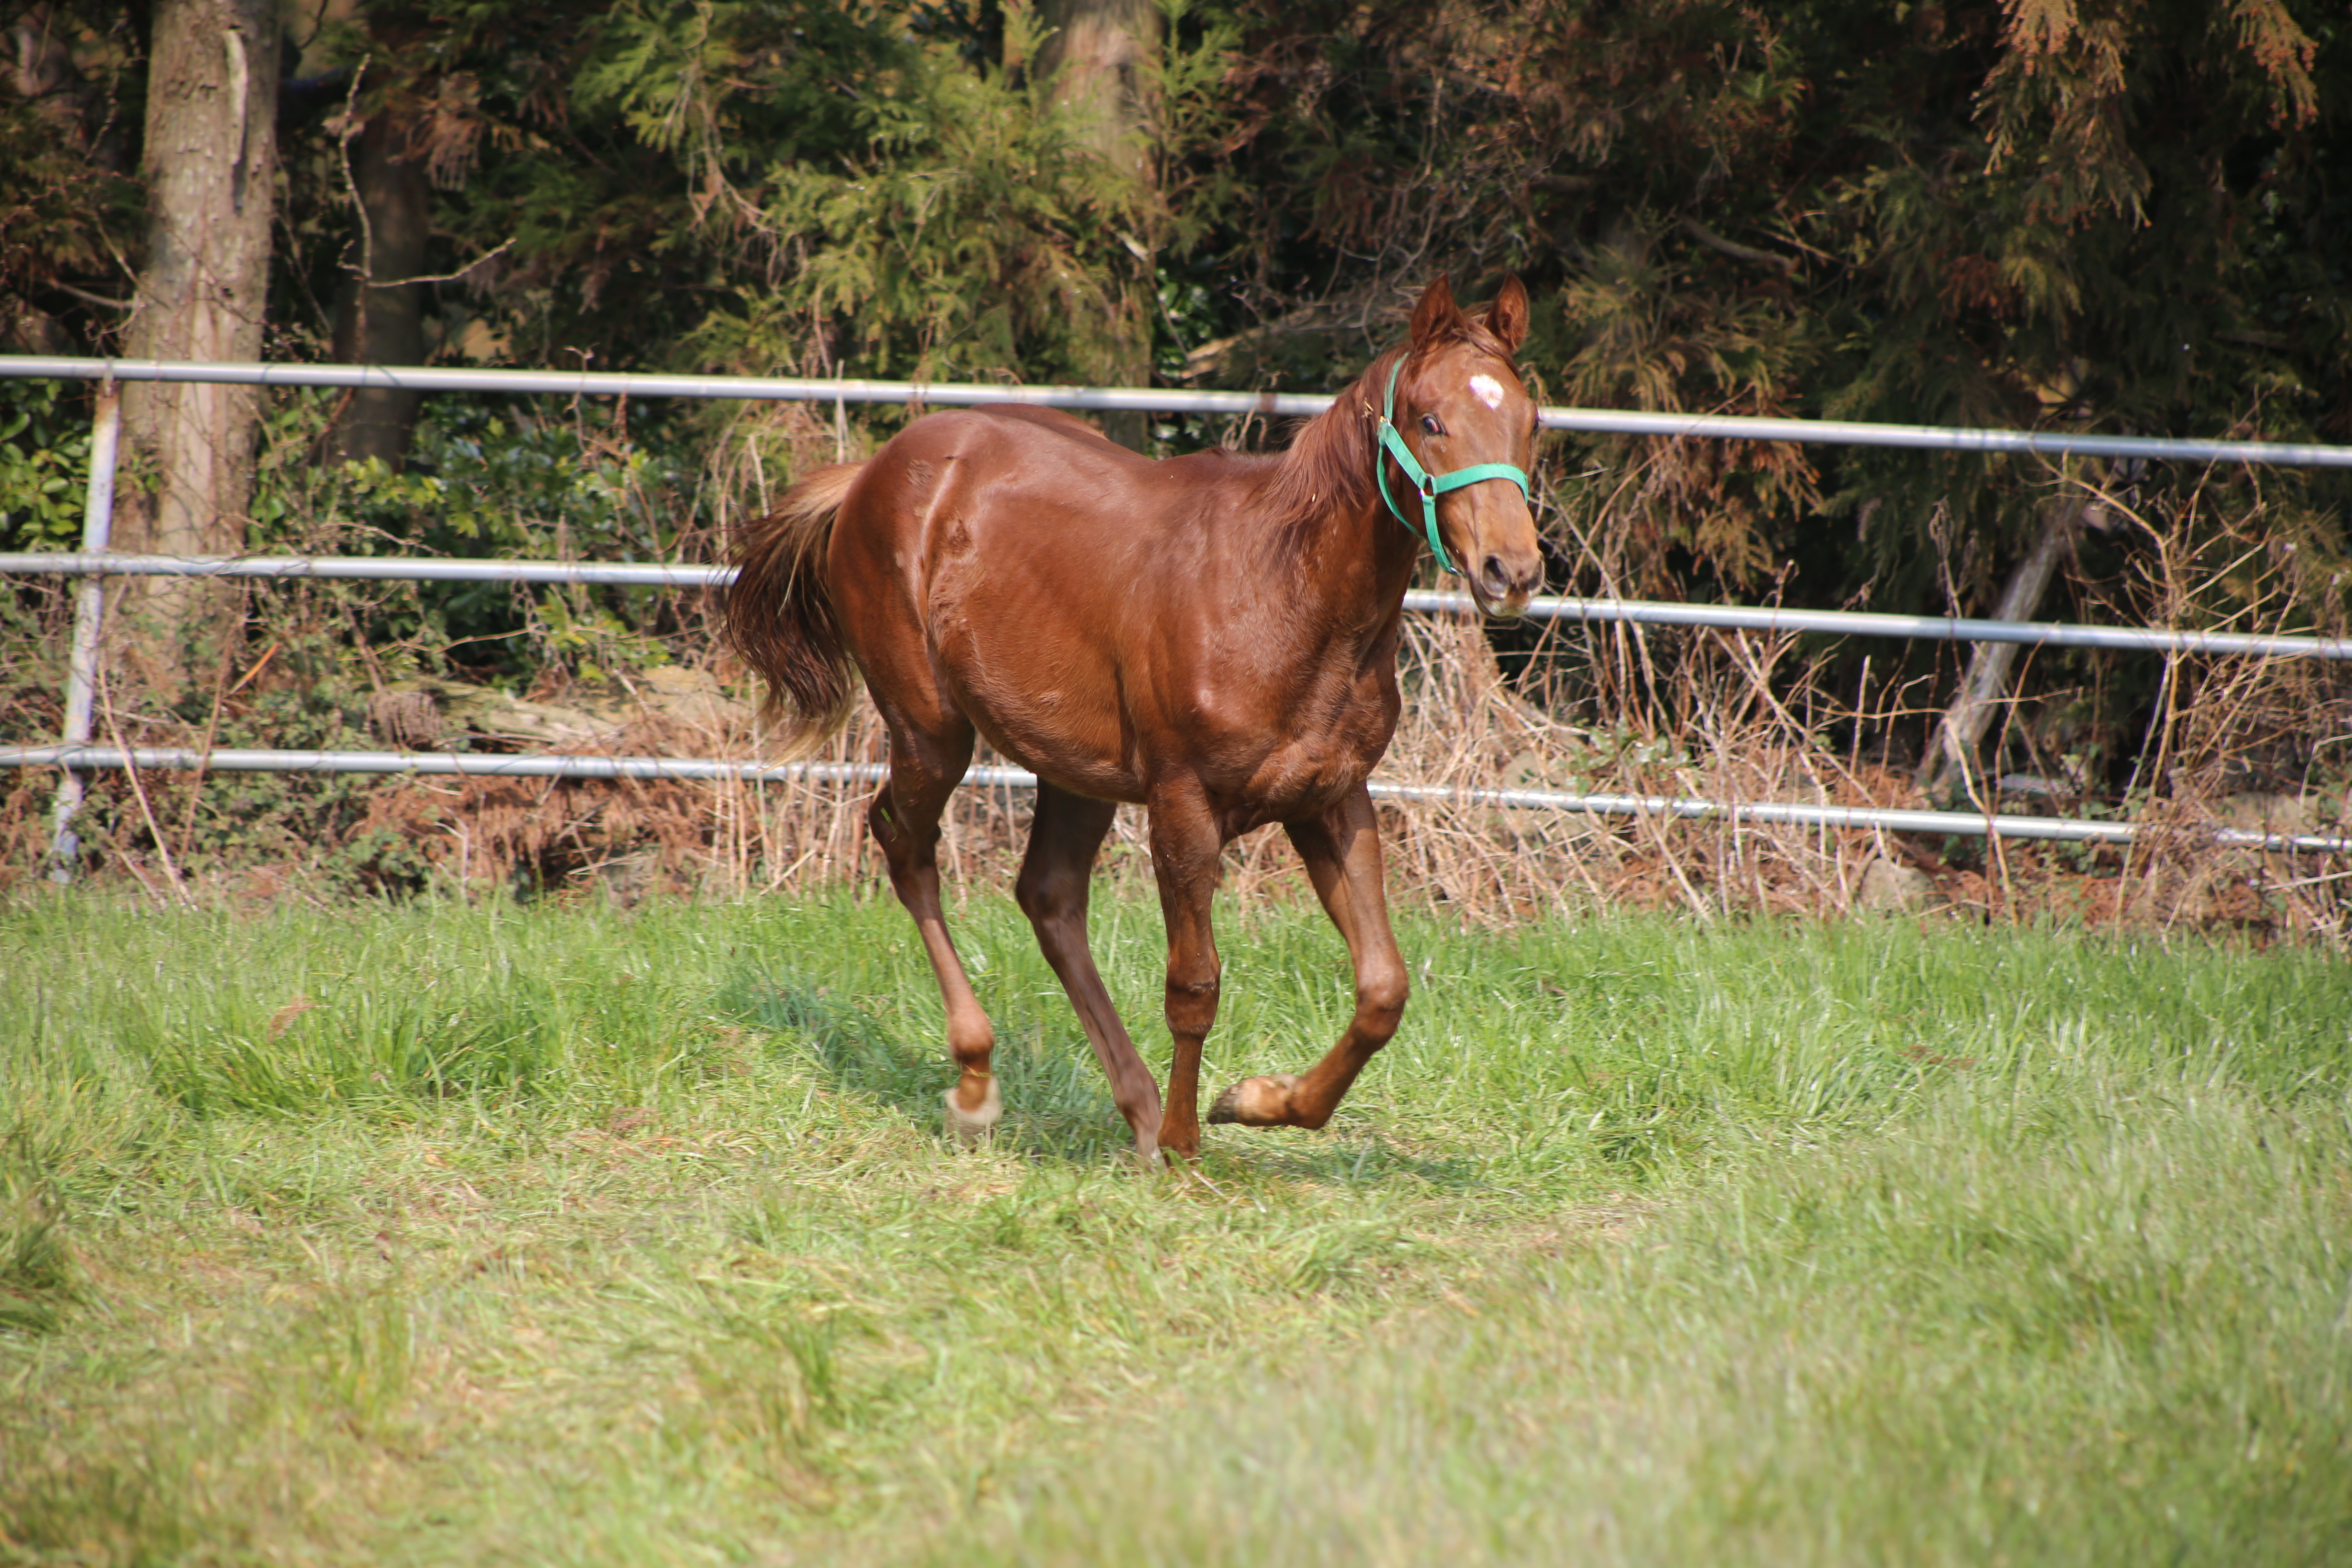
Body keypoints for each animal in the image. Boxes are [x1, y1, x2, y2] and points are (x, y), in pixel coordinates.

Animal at [729, 278, 1543, 1166]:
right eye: (1432, 421)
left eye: (1531, 422)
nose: (1513, 570)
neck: (1283, 589)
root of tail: (867, 475)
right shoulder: (1184, 804)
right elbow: (1195, 983)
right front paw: (1189, 1142)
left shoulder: (1331, 800)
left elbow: (1383, 990)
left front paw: (1255, 1101)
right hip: (930, 729)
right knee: (905, 846)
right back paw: (981, 1086)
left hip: (1072, 767)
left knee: (1049, 897)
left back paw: (1137, 1106)